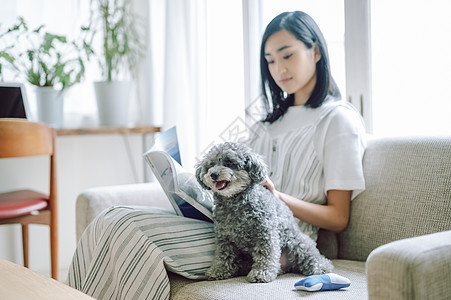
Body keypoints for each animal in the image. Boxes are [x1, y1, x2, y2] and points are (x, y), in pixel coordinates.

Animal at [196, 142, 334, 282]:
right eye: (211, 165)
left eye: (229, 162)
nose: (213, 174)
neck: (234, 203)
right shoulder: (224, 237)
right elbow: (223, 255)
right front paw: (218, 270)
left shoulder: (265, 232)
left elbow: (265, 254)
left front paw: (261, 273)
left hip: (297, 243)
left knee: (312, 257)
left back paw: (322, 268)